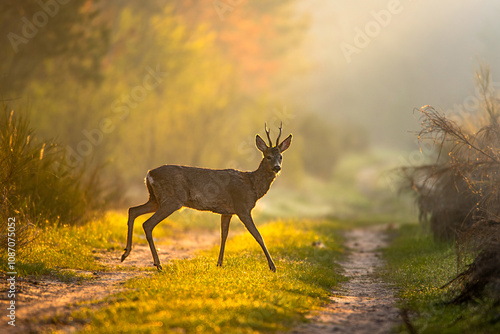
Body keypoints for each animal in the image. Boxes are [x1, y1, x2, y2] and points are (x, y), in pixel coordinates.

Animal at [122, 122, 292, 272]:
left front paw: (219, 264)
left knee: (133, 210)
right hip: (171, 200)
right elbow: (258, 235)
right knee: (147, 224)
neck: (252, 185)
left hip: (155, 199)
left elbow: (224, 235)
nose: (277, 167)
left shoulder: (227, 212)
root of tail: (149, 174)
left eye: (281, 157)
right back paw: (158, 265)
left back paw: (126, 253)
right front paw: (273, 267)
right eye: (268, 156)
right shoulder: (242, 207)